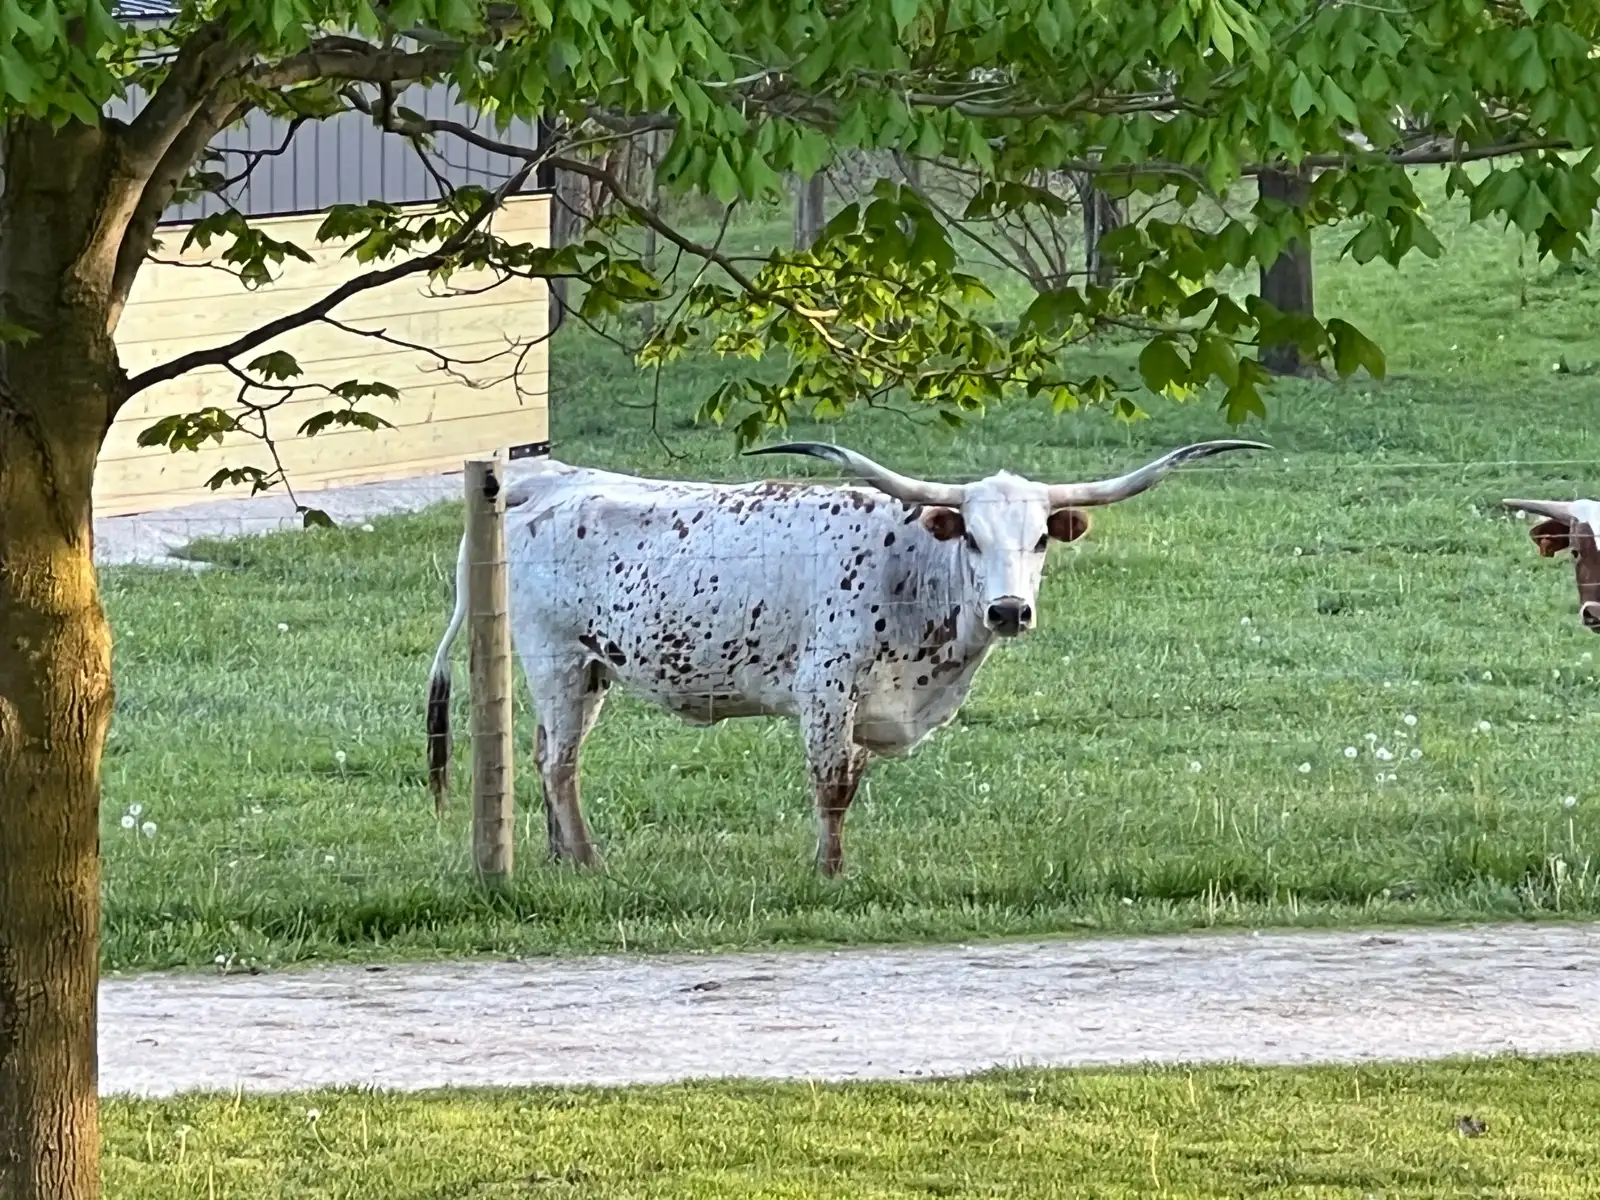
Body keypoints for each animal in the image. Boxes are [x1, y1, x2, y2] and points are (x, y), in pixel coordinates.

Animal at [427, 439, 1269, 874]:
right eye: (970, 536)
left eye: (1038, 540)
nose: (1008, 610)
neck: (913, 572)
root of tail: (544, 481)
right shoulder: (827, 692)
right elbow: (830, 788)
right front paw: (829, 874)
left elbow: (852, 786)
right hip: (559, 661)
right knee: (557, 763)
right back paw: (590, 861)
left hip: (585, 671)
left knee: (544, 753)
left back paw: (558, 859)